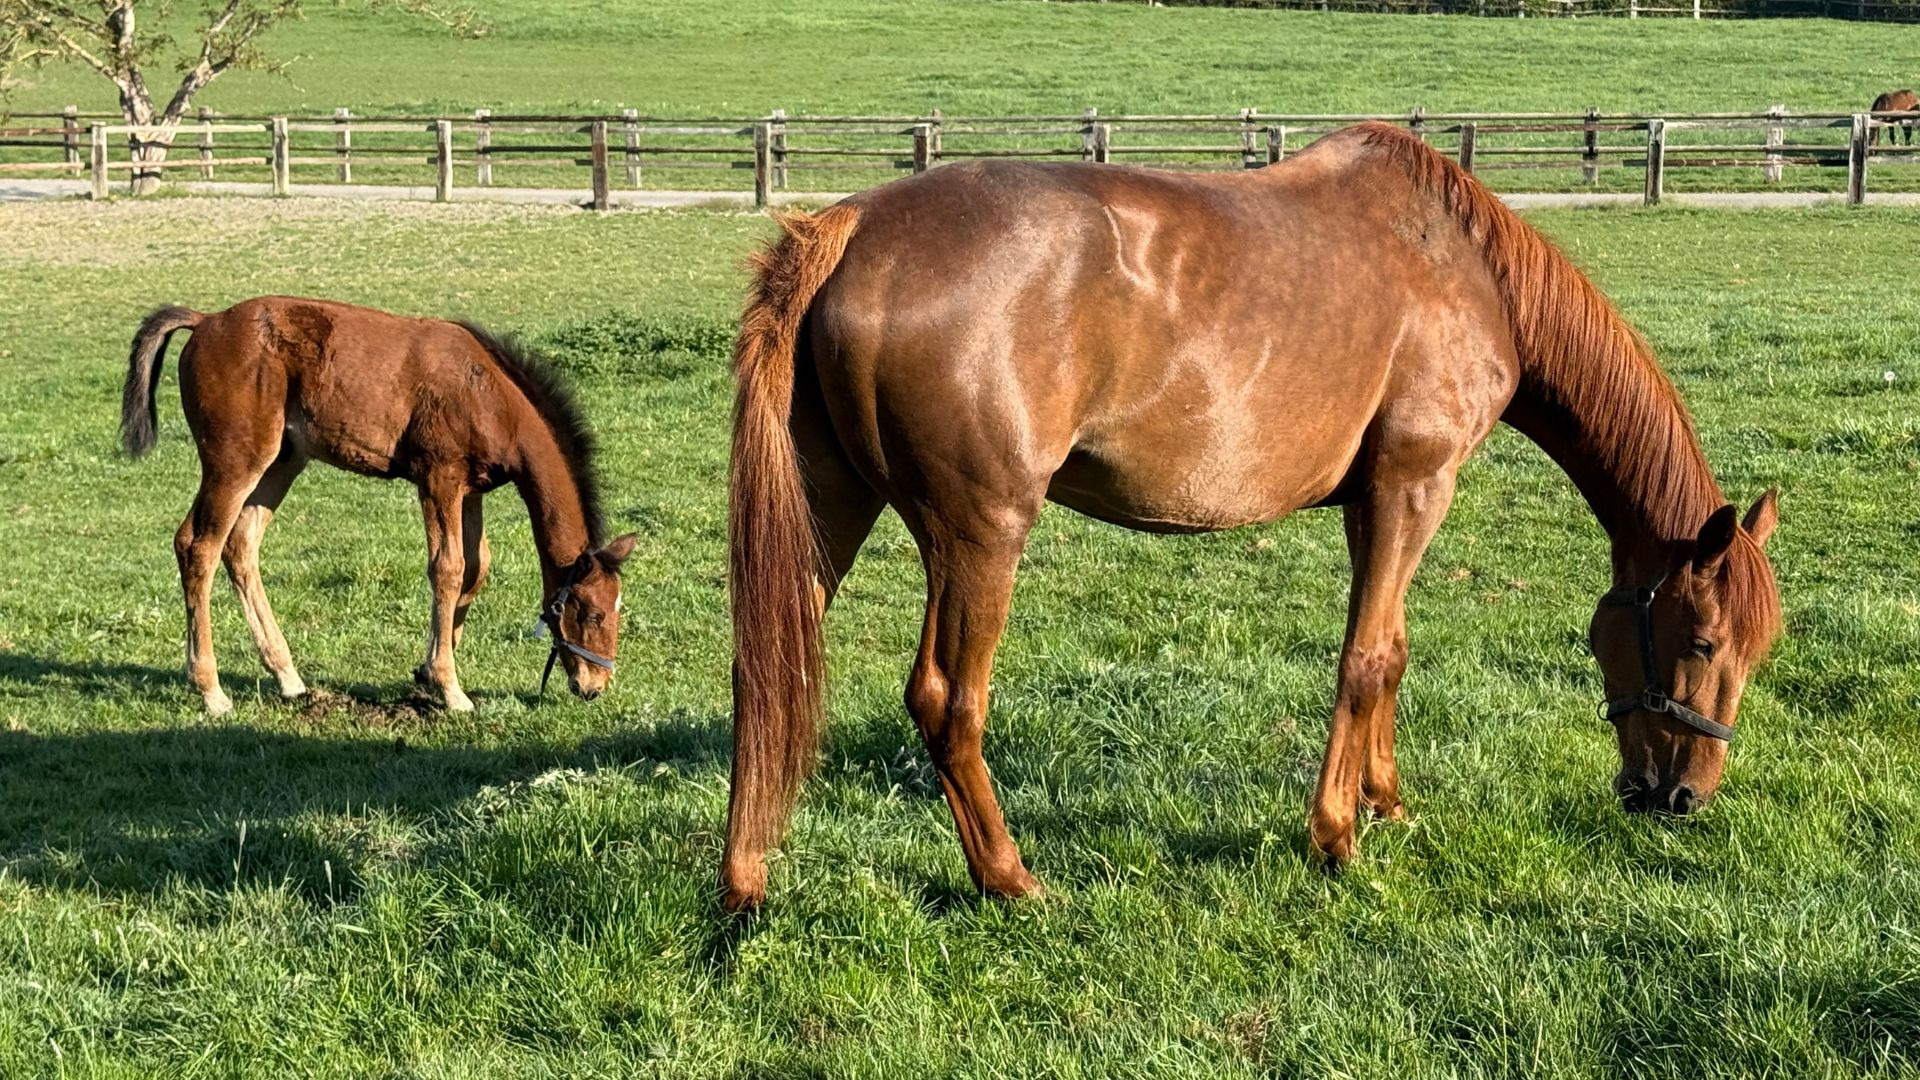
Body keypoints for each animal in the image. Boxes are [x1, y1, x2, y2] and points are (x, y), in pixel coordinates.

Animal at [121, 297, 637, 715]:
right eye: (591, 613)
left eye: (617, 607)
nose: (596, 685)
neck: (489, 396)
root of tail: (207, 320)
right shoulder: (438, 478)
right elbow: (447, 568)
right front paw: (451, 690)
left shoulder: (470, 490)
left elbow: (476, 568)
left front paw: (427, 674)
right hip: (236, 461)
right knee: (198, 546)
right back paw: (212, 691)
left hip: (281, 462)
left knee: (240, 547)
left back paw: (288, 677)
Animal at [717, 122, 1783, 912]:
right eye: (1700, 641)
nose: (1683, 796)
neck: (1465, 268)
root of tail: (851, 228)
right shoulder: (1413, 486)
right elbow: (1367, 659)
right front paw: (1338, 836)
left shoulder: (1377, 502)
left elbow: (1393, 649)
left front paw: (1386, 804)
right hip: (980, 534)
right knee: (946, 700)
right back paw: (1010, 878)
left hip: (828, 515)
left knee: (769, 677)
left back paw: (745, 881)